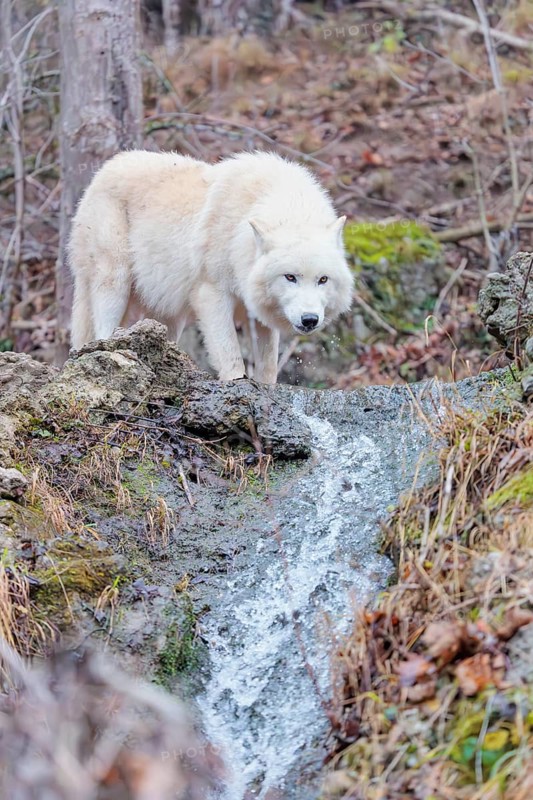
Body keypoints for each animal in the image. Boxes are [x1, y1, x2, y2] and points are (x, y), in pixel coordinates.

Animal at [68, 150, 353, 383]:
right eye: (290, 277)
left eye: (323, 279)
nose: (309, 319)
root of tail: (103, 170)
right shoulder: (212, 293)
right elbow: (230, 356)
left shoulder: (260, 313)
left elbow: (269, 366)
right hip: (115, 280)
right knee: (102, 332)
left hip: (168, 314)